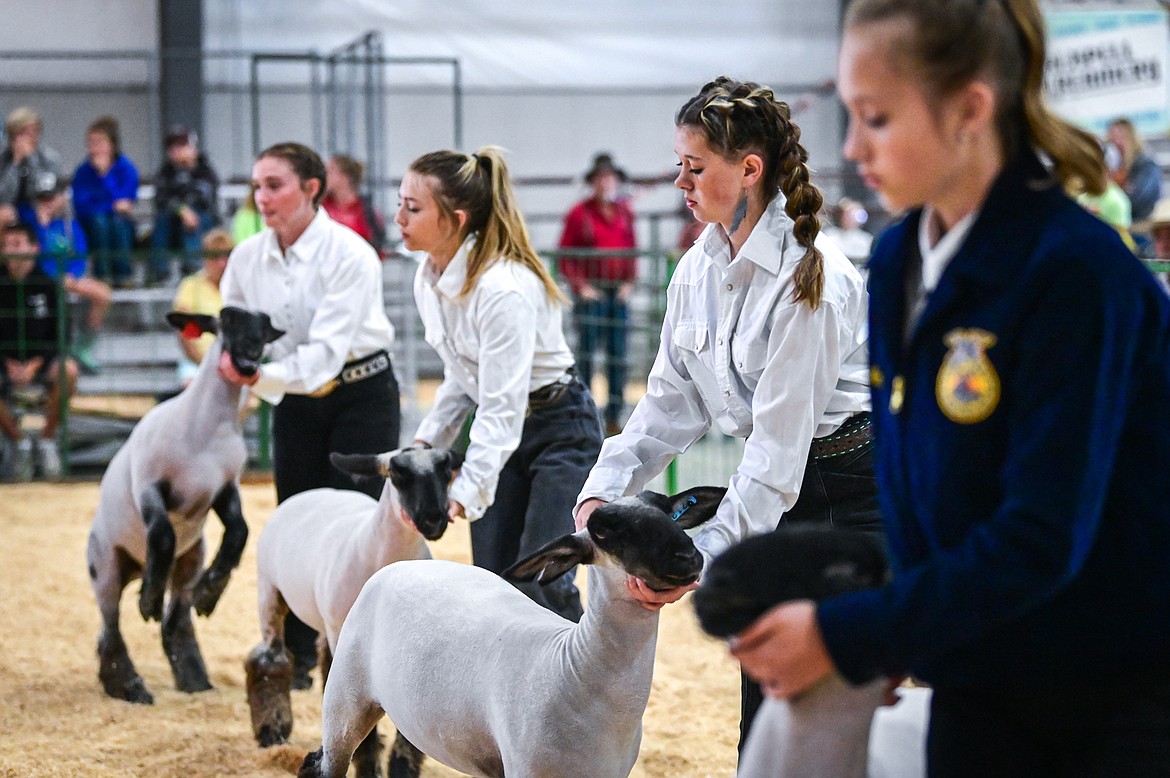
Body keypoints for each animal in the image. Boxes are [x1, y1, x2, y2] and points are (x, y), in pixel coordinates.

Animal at [85, 304, 283, 701]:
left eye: (265, 325)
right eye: (227, 320)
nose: (251, 351)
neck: (205, 430)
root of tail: (133, 568)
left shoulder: (224, 488)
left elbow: (239, 531)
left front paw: (210, 592)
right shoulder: (148, 484)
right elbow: (162, 534)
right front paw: (148, 599)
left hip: (190, 559)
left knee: (175, 619)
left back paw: (193, 678)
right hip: (105, 565)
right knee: (110, 628)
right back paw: (130, 686)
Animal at [244, 442, 458, 762]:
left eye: (446, 470)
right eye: (398, 472)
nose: (433, 519)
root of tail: (313, 492)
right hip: (269, 592)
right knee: (270, 662)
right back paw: (272, 730)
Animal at [297, 486, 725, 776]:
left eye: (671, 513)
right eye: (603, 530)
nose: (689, 557)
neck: (574, 671)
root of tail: (399, 565)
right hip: (345, 699)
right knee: (326, 763)